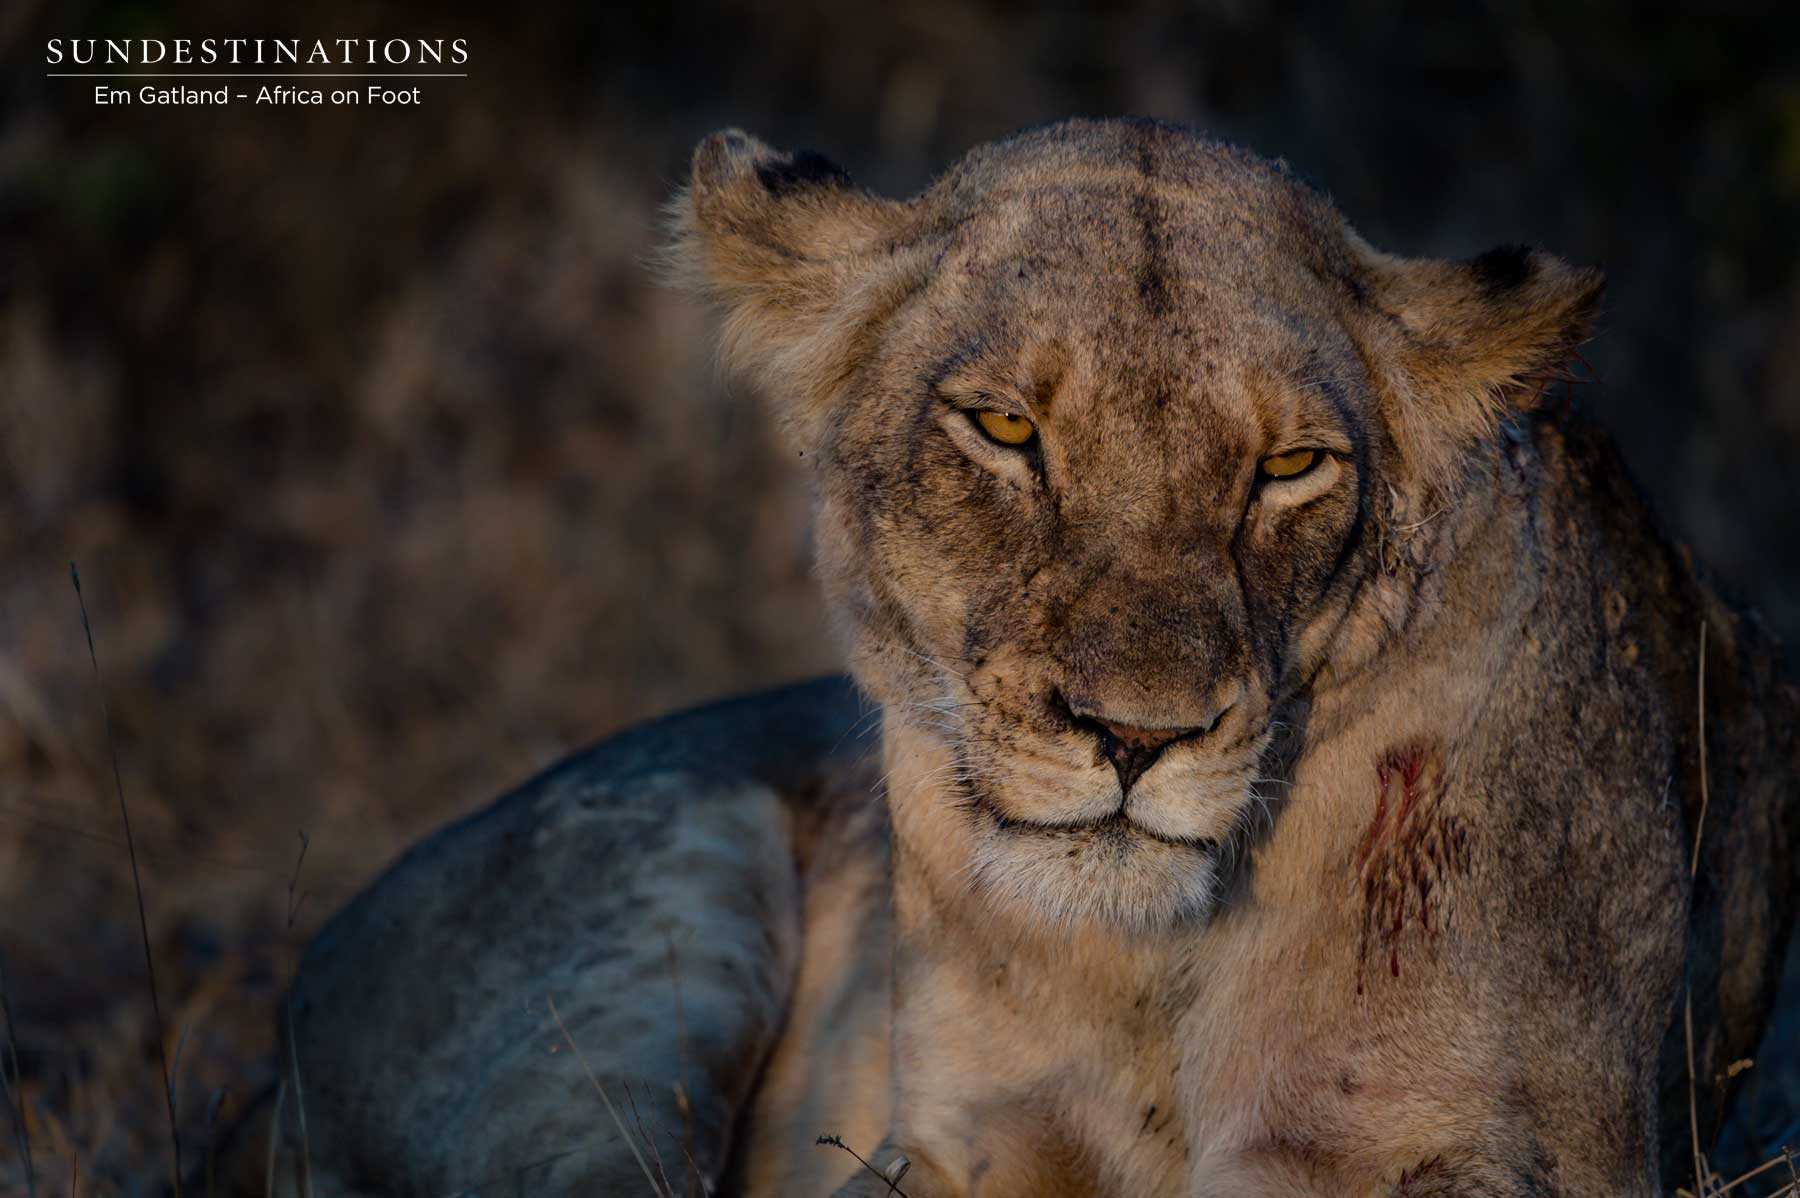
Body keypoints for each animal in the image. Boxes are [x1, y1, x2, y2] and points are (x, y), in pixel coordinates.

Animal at [251, 119, 1796, 1197]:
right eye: (1003, 428)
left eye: (1289, 466)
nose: (1135, 736)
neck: (1140, 978)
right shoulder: (954, 1138)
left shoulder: (1493, 1151)